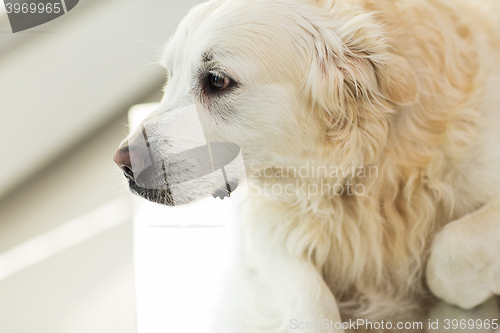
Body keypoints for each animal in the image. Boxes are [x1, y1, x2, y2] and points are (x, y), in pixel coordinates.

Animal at [115, 0, 500, 330]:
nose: (123, 164)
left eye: (217, 80)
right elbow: (310, 303)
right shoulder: (264, 222)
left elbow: (448, 253)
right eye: (171, 75)